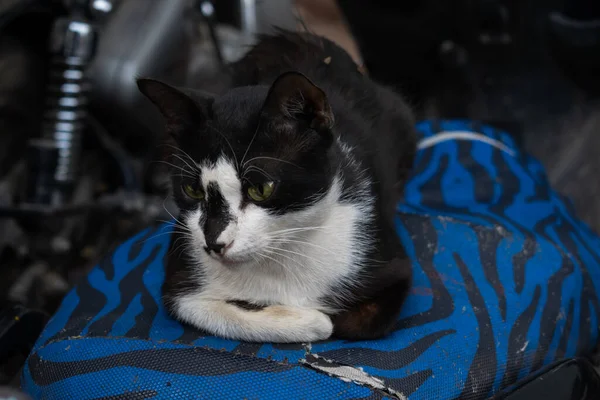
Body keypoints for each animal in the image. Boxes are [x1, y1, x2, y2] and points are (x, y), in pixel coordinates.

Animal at [138, 32, 414, 344]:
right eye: (192, 190)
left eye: (260, 189)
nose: (214, 243)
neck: (281, 253)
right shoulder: (178, 276)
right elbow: (201, 308)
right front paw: (307, 320)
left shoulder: (387, 258)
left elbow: (357, 323)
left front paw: (318, 316)